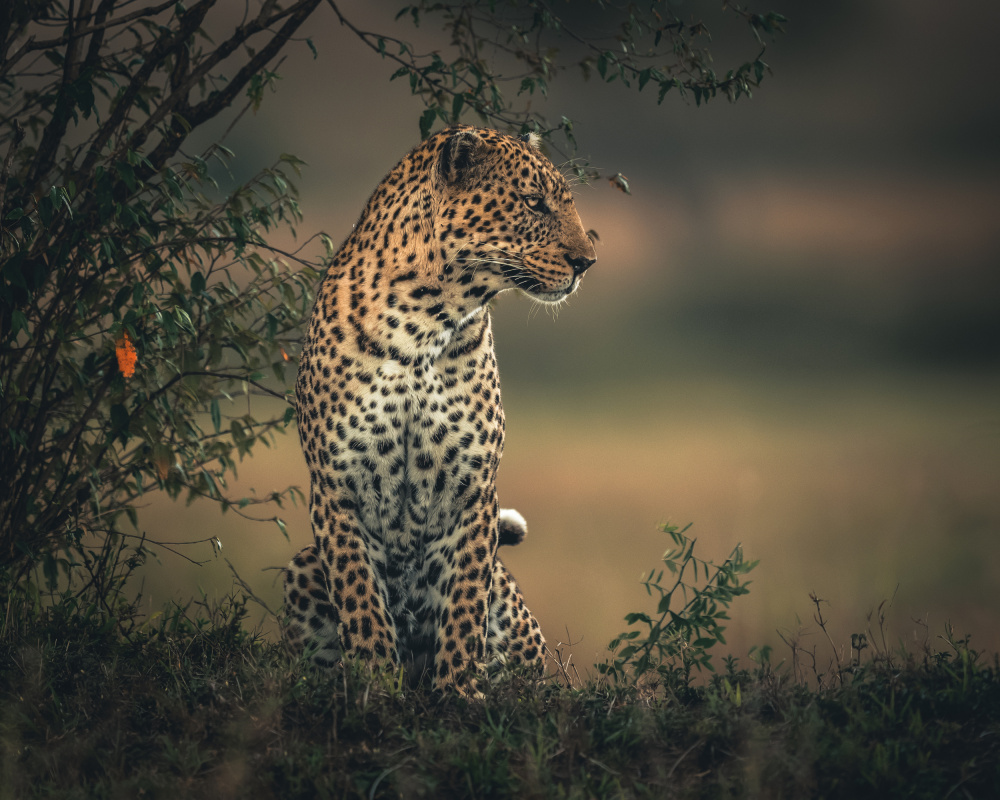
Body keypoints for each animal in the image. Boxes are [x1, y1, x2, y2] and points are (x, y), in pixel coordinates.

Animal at [282, 125, 596, 691]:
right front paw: (376, 686)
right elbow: (361, 601)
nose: (587, 263)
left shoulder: (474, 491)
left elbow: (465, 604)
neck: (423, 320)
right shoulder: (336, 489)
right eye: (533, 203)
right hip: (301, 567)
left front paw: (459, 691)